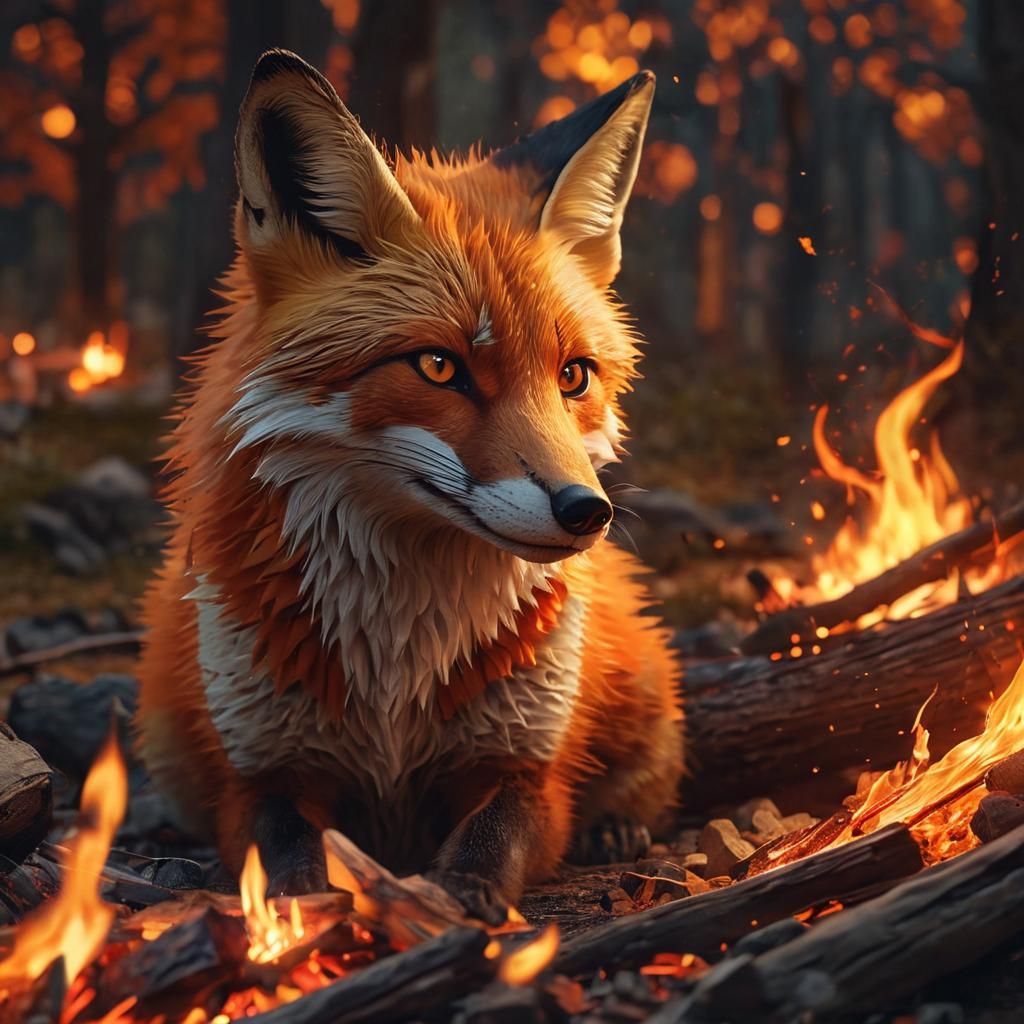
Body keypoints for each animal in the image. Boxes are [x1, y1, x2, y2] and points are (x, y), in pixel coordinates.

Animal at [136, 49, 683, 921]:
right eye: (438, 367)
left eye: (573, 375)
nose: (586, 512)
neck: (399, 659)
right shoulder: (259, 775)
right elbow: (290, 863)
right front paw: (307, 922)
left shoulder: (525, 766)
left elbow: (490, 847)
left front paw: (454, 906)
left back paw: (618, 829)